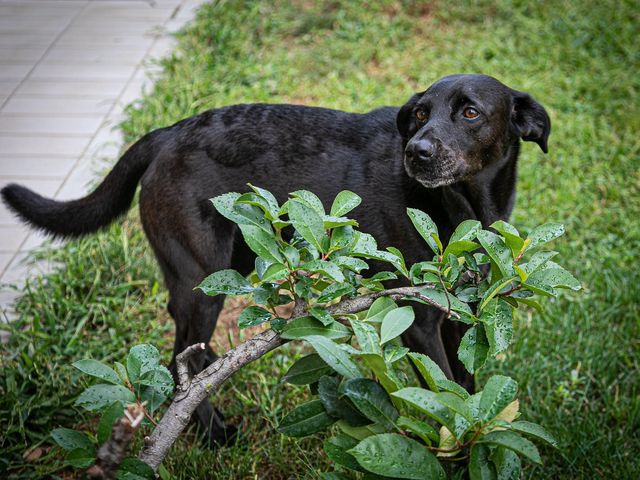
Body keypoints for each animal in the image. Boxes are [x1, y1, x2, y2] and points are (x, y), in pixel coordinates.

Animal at [0, 74, 552, 446]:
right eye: (419, 114)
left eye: (470, 113)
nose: (415, 151)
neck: (461, 207)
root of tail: (169, 131)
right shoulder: (416, 319)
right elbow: (441, 394)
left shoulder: (460, 311)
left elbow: (464, 387)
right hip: (201, 280)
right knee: (186, 358)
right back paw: (210, 431)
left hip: (238, 261)